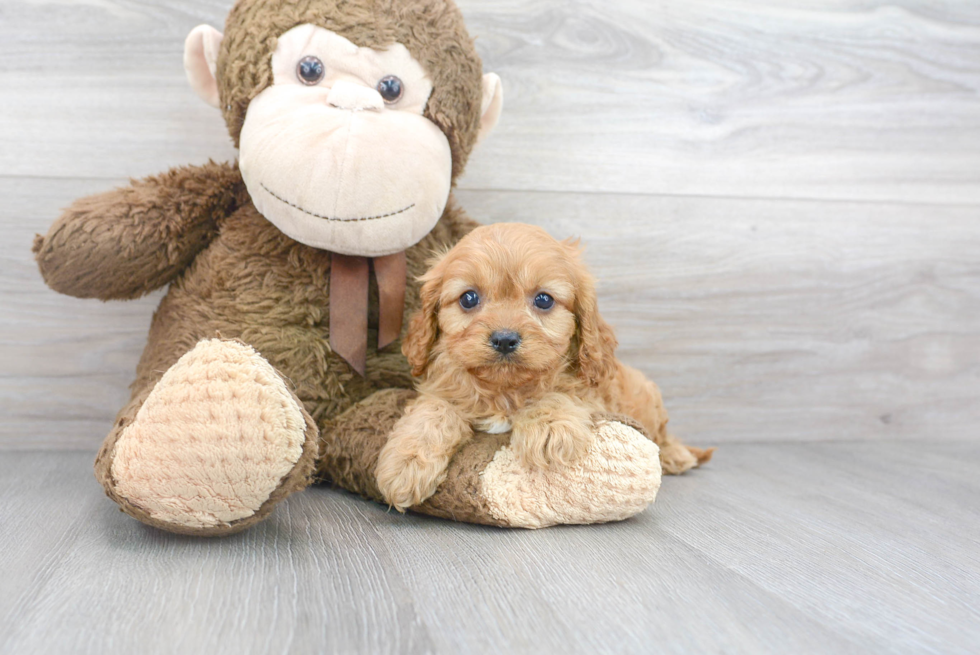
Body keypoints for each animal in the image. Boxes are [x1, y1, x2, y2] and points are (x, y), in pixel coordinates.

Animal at [378, 223, 712, 510]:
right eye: (468, 298)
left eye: (544, 300)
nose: (504, 339)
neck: (505, 389)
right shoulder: (441, 388)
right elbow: (433, 410)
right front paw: (406, 463)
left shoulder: (591, 392)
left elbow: (558, 393)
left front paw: (550, 427)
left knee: (663, 435)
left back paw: (677, 456)